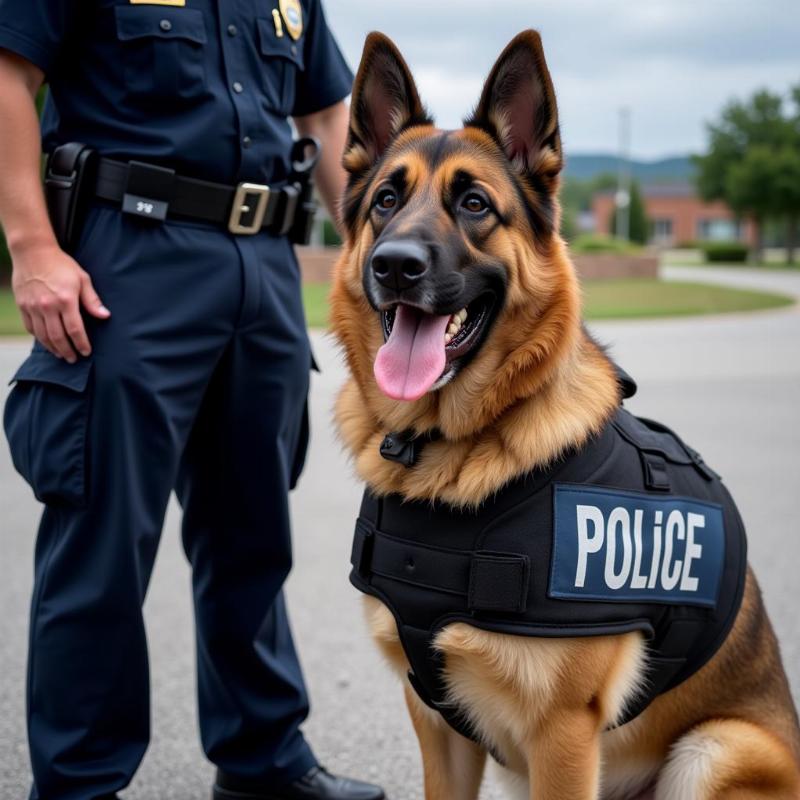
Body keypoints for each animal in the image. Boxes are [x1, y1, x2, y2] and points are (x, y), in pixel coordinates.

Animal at [326, 31, 800, 800]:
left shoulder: (563, 736)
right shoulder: (437, 727)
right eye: (386, 201)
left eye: (476, 204)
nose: (394, 265)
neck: (445, 451)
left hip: (716, 749)